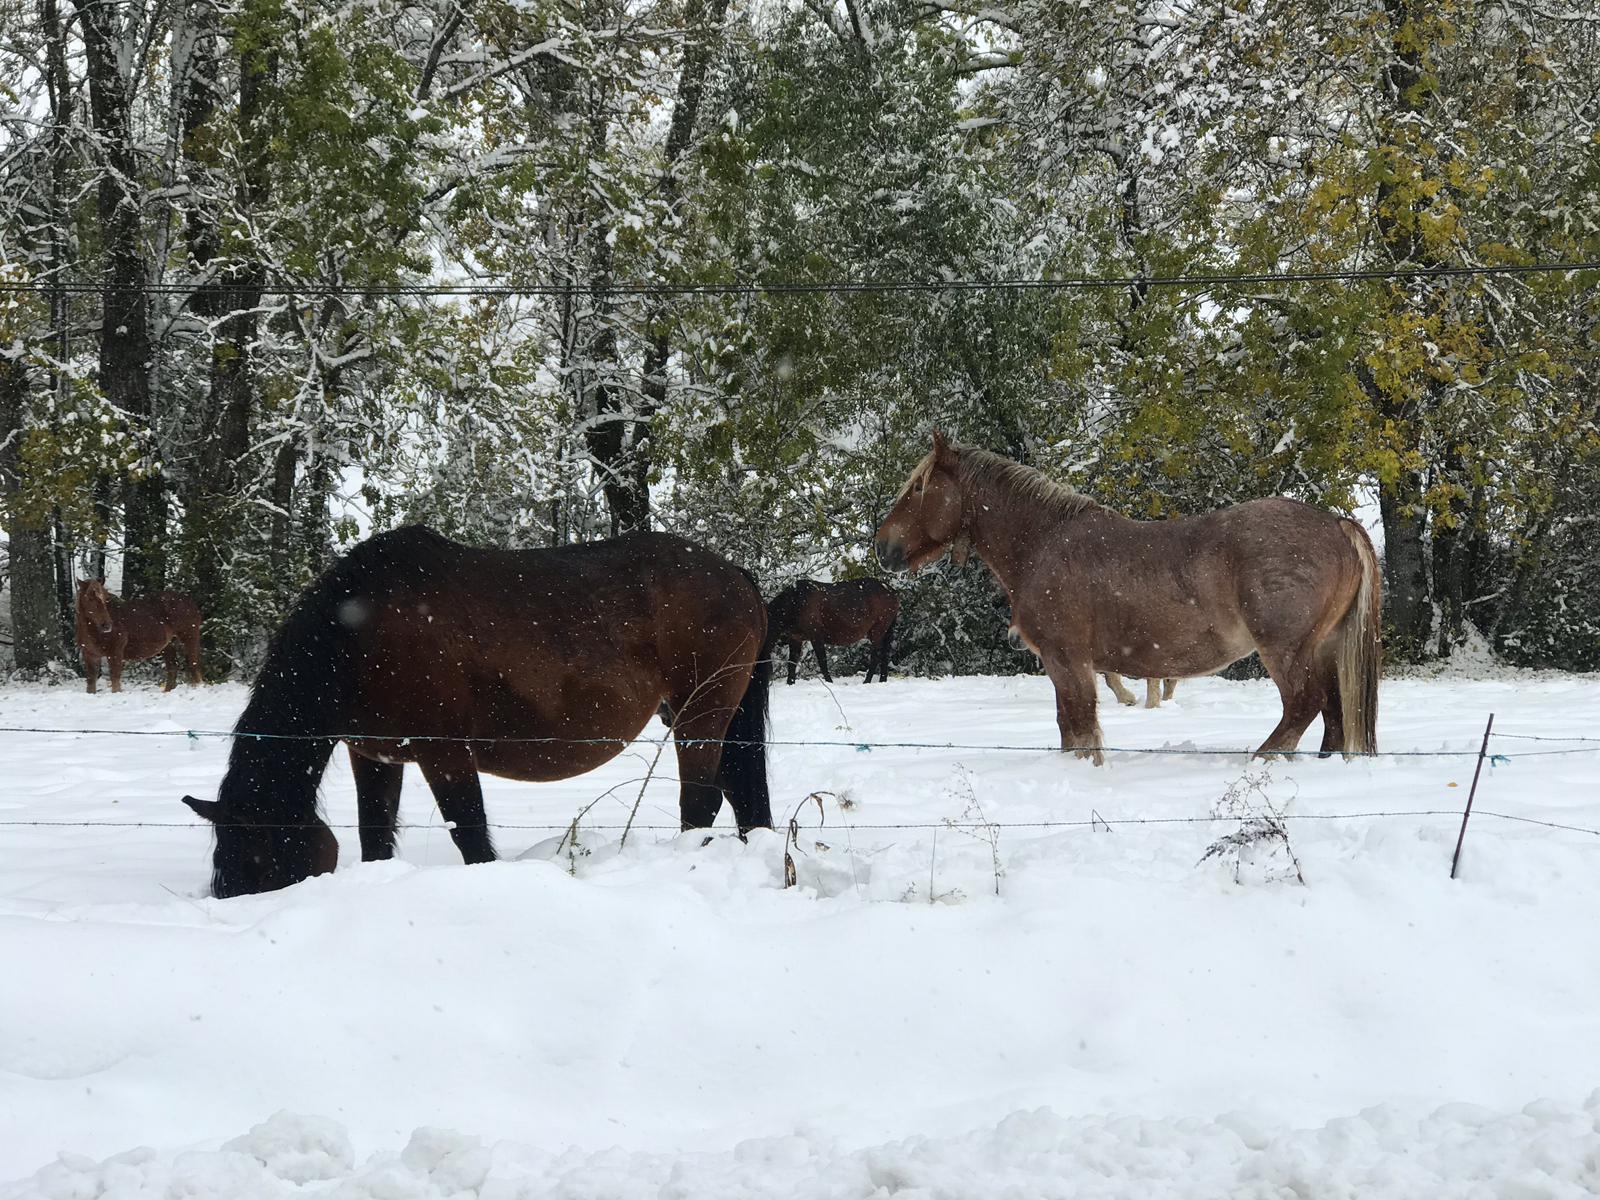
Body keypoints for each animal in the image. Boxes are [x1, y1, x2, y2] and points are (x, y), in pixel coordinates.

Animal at [74, 579, 203, 694]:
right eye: (89, 598)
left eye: (106, 599)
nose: (107, 625)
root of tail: (190, 602)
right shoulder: (90, 654)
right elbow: (91, 682)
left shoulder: (115, 653)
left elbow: (115, 680)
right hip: (168, 646)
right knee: (172, 668)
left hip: (189, 638)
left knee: (193, 666)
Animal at [181, 528, 774, 902]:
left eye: (260, 861)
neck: (360, 635)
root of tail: (735, 574)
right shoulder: (373, 757)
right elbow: (376, 839)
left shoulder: (444, 754)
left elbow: (469, 836)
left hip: (701, 718)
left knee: (701, 802)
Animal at [764, 579, 902, 684]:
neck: (794, 604)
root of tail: (893, 592)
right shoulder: (796, 637)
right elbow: (791, 664)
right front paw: (790, 683)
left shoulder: (816, 635)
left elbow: (822, 661)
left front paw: (829, 681)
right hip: (886, 631)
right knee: (885, 654)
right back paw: (882, 680)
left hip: (877, 630)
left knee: (876, 655)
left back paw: (867, 681)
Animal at [870, 438, 1382, 764]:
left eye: (919, 488)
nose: (882, 547)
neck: (1044, 542)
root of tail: (1338, 524)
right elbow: (1070, 727)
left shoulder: (1066, 659)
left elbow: (1080, 727)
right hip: (1325, 648)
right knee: (1334, 714)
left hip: (1287, 649)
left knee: (1304, 704)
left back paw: (1262, 761)